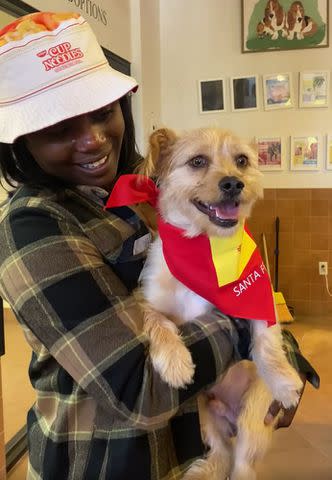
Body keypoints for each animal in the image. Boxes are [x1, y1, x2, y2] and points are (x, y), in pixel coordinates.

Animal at [138, 128, 304, 480]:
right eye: (197, 161)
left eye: (242, 160)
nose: (233, 183)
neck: (207, 246)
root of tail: (228, 416)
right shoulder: (149, 301)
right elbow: (157, 321)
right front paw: (175, 362)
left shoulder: (259, 298)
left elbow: (267, 341)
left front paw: (284, 382)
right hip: (202, 415)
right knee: (222, 454)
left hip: (252, 416)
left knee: (241, 464)